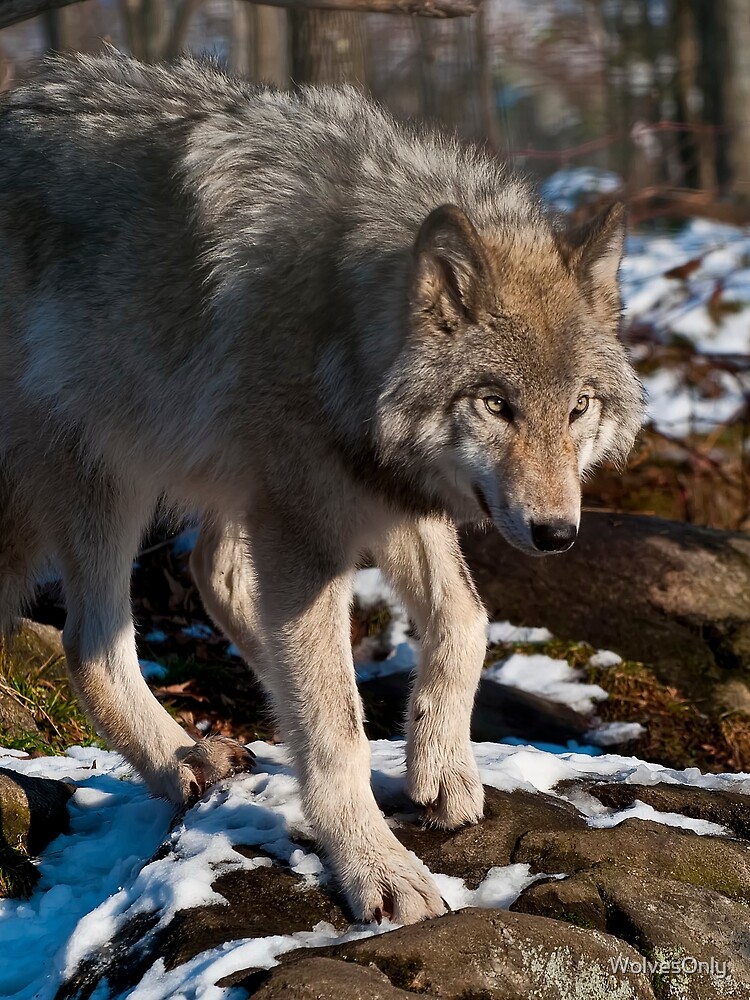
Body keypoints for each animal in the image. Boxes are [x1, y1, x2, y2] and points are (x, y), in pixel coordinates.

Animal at [0, 51, 643, 923]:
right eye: (495, 405)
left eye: (578, 407)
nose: (556, 534)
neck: (338, 318)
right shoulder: (308, 522)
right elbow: (334, 726)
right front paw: (377, 868)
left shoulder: (385, 494)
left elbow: (465, 620)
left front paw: (441, 765)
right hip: (104, 468)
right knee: (91, 645)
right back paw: (182, 762)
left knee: (214, 576)